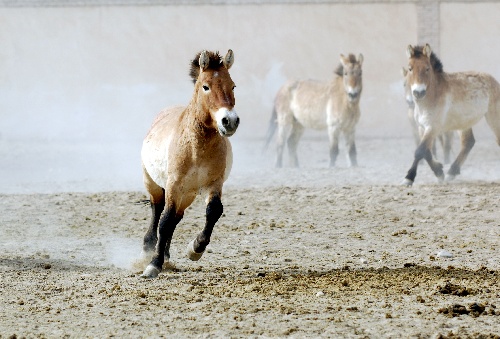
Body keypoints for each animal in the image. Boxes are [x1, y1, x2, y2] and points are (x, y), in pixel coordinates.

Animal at [140, 50, 239, 278]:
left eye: (233, 86)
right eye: (206, 86)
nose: (229, 121)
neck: (196, 148)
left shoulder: (214, 183)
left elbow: (213, 211)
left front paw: (196, 248)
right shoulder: (174, 184)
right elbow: (164, 220)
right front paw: (153, 264)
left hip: (189, 194)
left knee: (177, 217)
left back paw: (167, 255)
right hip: (154, 183)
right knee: (157, 210)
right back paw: (149, 248)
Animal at [402, 44, 500, 187]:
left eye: (427, 68)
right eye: (410, 68)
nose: (418, 92)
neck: (433, 96)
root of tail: (493, 80)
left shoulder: (433, 127)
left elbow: (420, 150)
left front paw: (409, 178)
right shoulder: (423, 127)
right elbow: (426, 151)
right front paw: (439, 172)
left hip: (493, 118)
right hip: (463, 123)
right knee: (468, 143)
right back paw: (451, 172)